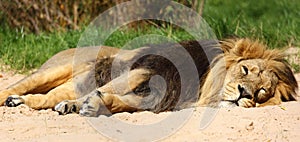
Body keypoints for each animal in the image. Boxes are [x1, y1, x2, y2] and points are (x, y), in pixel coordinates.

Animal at [0, 38, 296, 116]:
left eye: (262, 92)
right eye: (245, 71)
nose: (245, 92)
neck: (203, 88)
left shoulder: (158, 98)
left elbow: (118, 101)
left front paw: (92, 105)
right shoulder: (148, 67)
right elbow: (110, 87)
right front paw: (85, 104)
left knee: (44, 99)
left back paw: (22, 102)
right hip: (52, 71)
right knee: (19, 87)